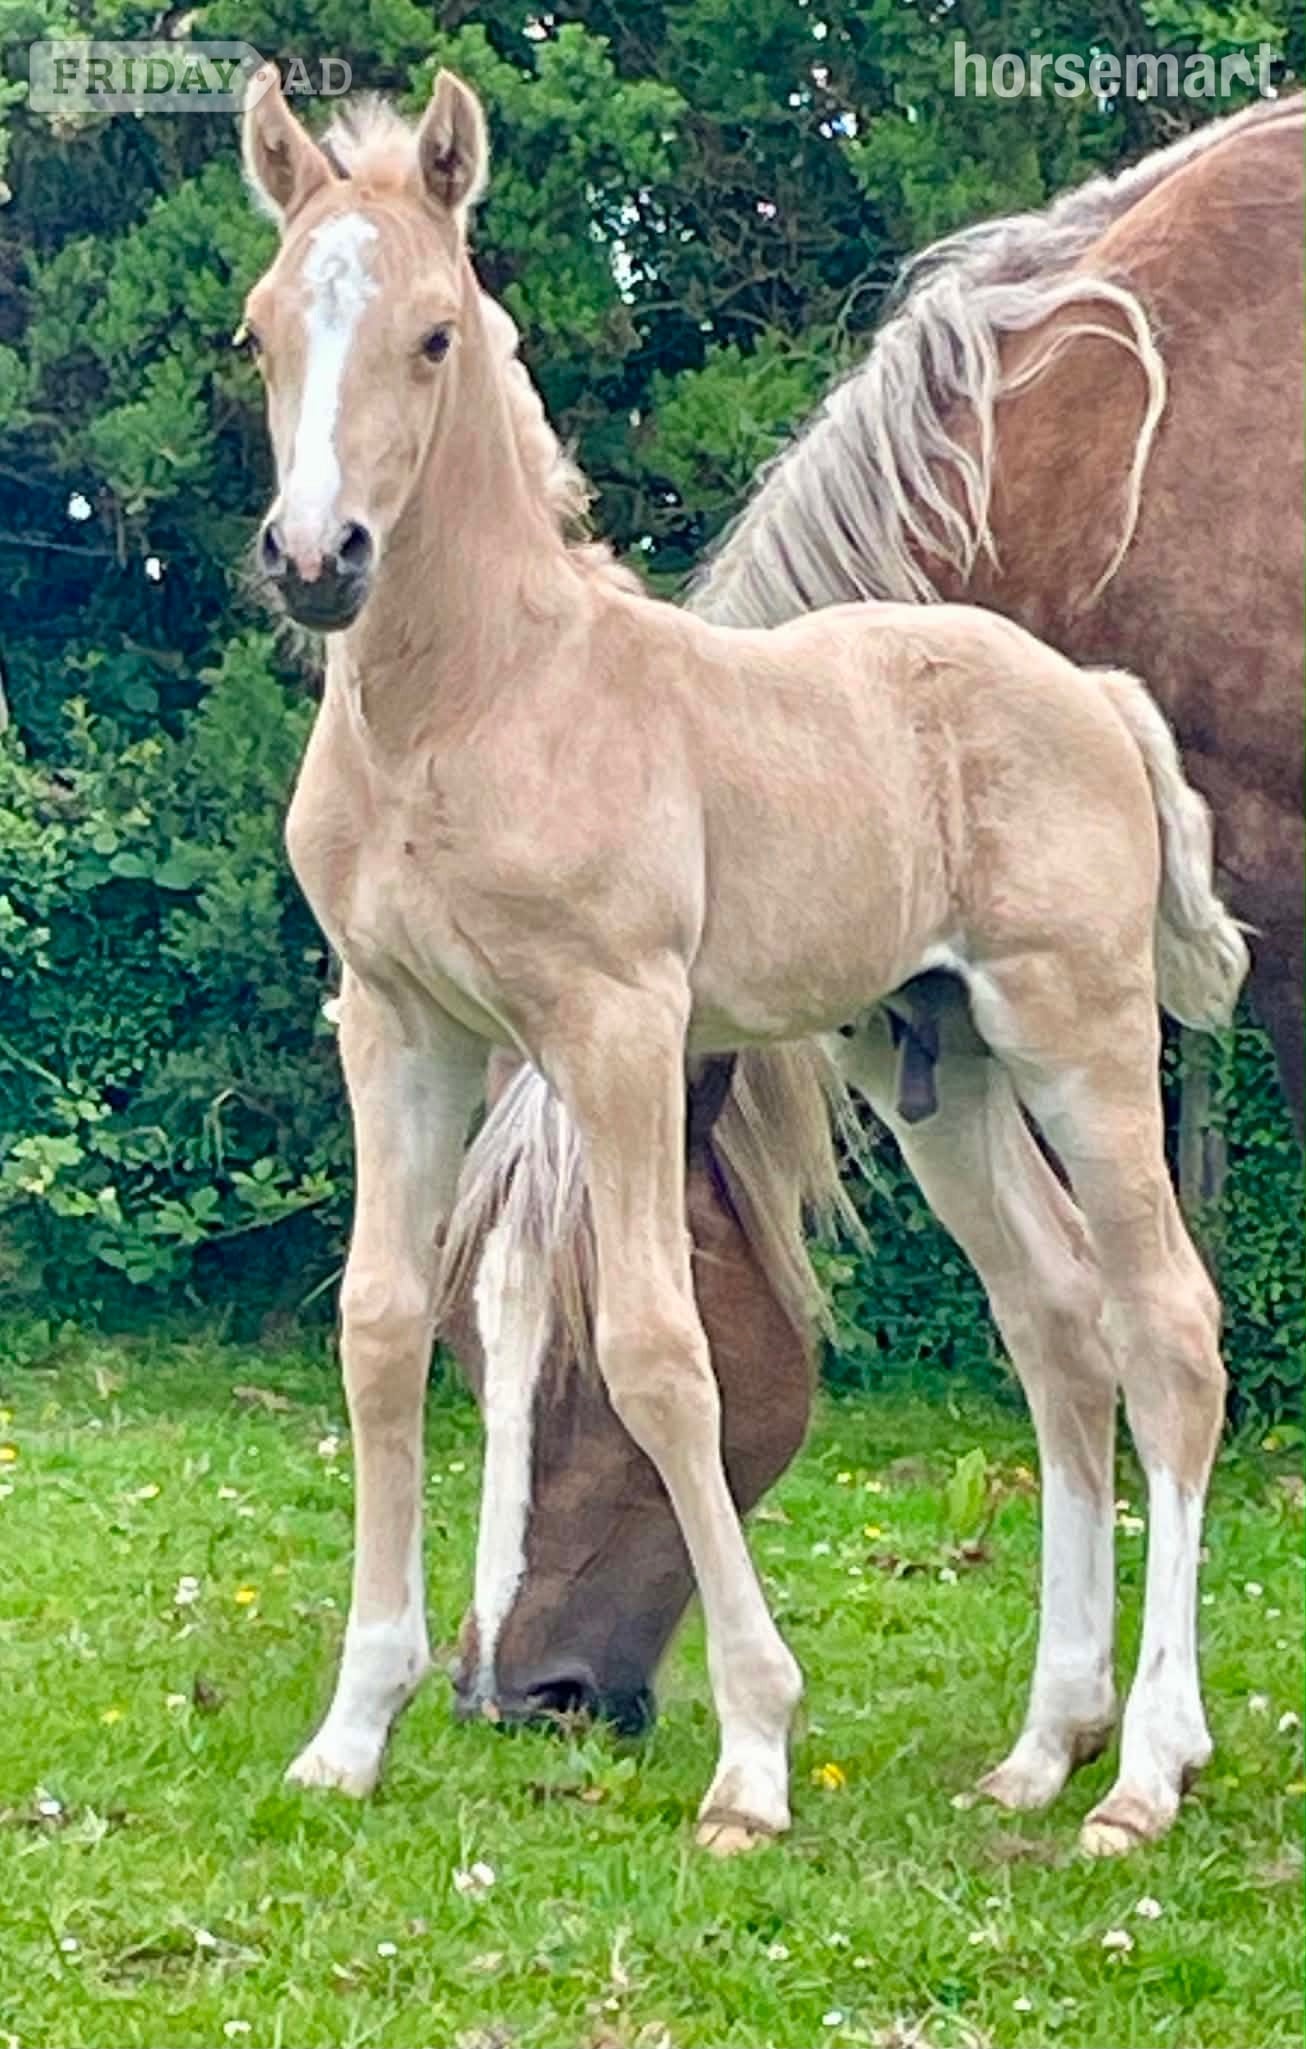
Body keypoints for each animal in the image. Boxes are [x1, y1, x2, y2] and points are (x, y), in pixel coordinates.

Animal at [238, 66, 1247, 1856]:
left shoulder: (618, 1025)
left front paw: (754, 1758)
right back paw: (1037, 1749)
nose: (313, 559)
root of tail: (1091, 696)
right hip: (936, 1065)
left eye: (434, 334)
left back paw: (1141, 1772)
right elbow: (371, 1323)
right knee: (1058, 1327)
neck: (476, 698)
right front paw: (349, 1735)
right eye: (263, 331)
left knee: (1167, 1334)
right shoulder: (399, 1025)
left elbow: (668, 1352)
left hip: (1078, 1027)